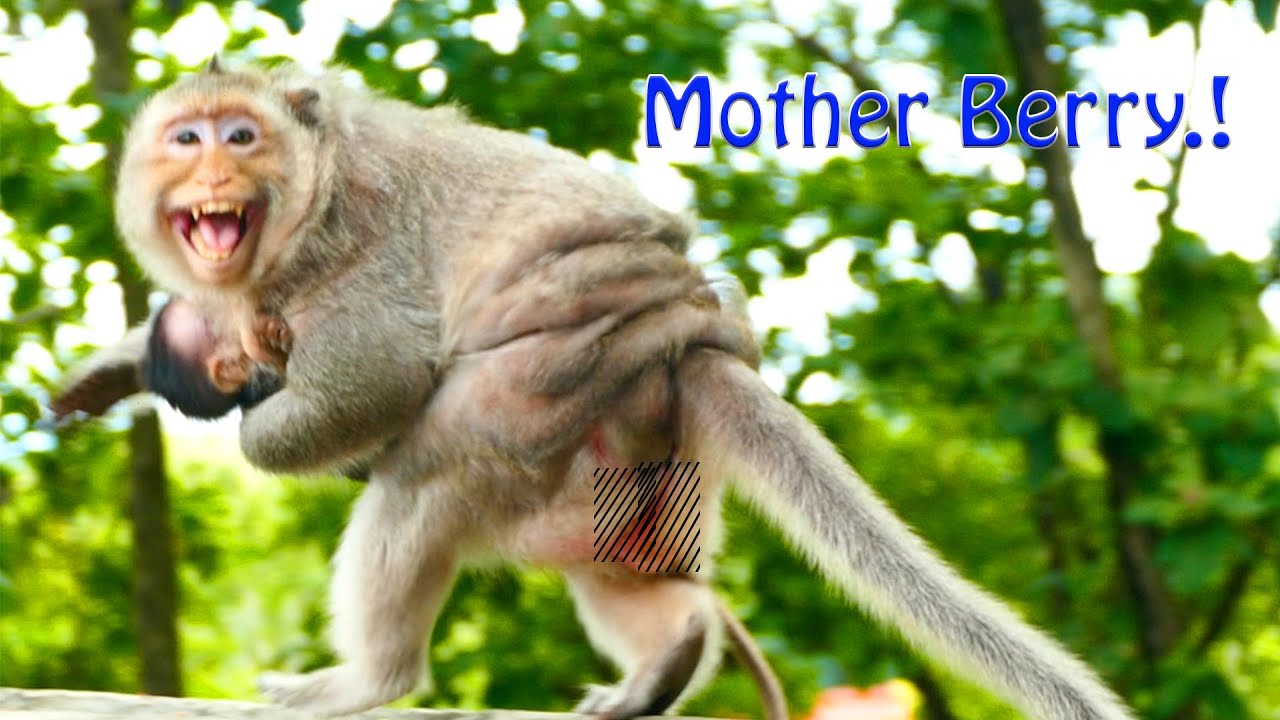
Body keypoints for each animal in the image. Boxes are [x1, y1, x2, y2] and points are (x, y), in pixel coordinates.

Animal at [85, 59, 1136, 720]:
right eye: (185, 137)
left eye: (239, 135)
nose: (212, 163)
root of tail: (690, 343)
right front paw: (124, 366)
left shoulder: (355, 254)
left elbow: (379, 378)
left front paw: (253, 420)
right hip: (619, 451)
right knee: (614, 567)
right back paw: (670, 653)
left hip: (545, 386)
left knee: (426, 474)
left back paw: (372, 677)